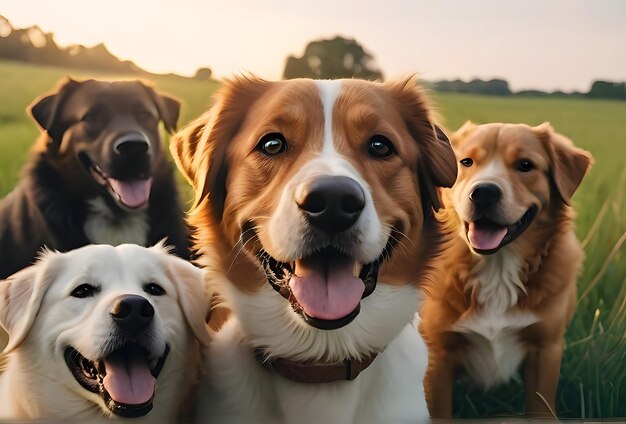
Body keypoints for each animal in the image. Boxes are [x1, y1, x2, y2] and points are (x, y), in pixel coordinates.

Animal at [420, 120, 588, 418]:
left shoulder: (546, 349)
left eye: (525, 165)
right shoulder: (437, 355)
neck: (497, 270)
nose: (483, 193)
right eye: (466, 161)